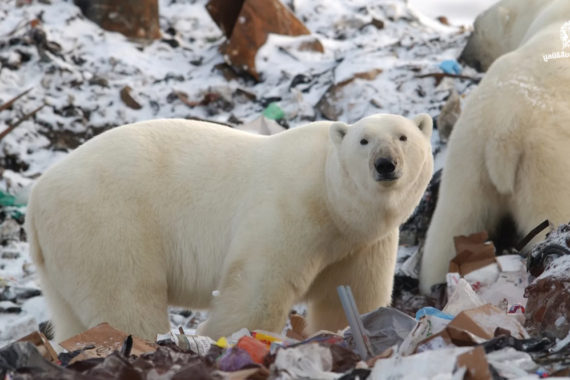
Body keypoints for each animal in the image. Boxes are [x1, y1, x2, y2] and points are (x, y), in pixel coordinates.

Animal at [26, 113, 432, 342]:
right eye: (364, 140)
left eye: (403, 137)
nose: (385, 164)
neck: (330, 196)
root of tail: (36, 197)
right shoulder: (289, 208)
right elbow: (258, 286)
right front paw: (226, 338)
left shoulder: (361, 241)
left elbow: (351, 295)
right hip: (106, 222)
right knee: (127, 295)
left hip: (64, 249)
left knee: (70, 312)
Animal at [418, 0, 568, 294]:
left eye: (475, 28)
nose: (464, 57)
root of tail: (503, 133)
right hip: (546, 164)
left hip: (467, 161)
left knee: (449, 230)